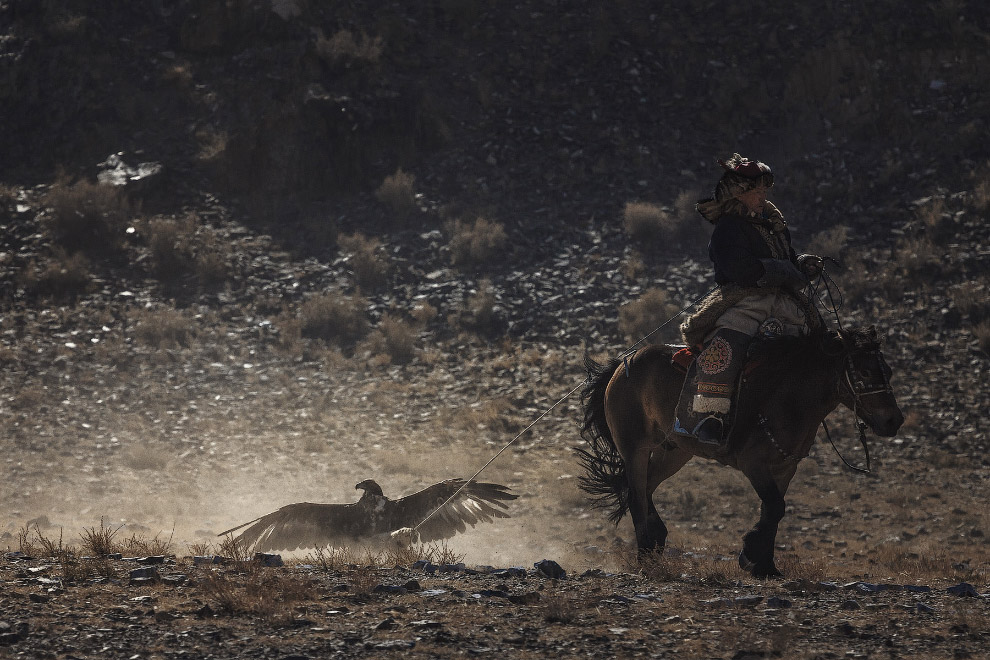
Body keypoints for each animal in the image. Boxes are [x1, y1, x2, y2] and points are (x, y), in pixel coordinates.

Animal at [580, 324, 908, 576]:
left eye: (890, 371)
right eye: (864, 371)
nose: (894, 420)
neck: (787, 396)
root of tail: (623, 362)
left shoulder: (785, 469)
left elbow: (772, 511)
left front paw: (765, 566)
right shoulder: (754, 464)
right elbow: (775, 507)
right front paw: (751, 555)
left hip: (673, 452)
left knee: (646, 488)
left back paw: (657, 542)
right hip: (634, 448)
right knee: (636, 496)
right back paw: (645, 556)